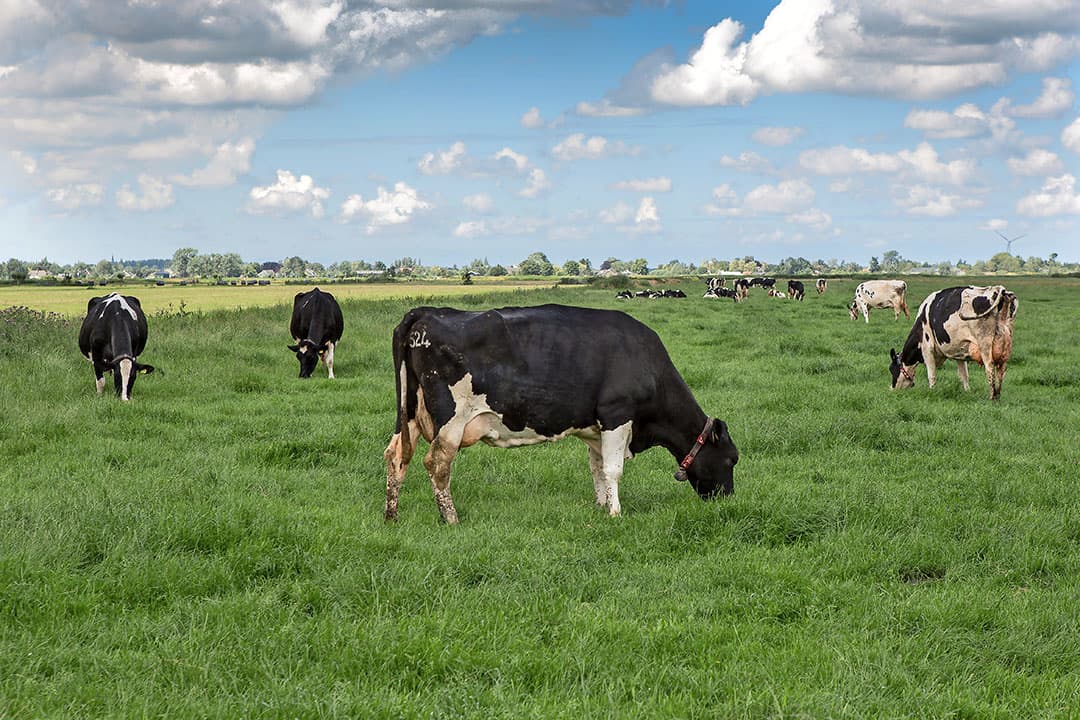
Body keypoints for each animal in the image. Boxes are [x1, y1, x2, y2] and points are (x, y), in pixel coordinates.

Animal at [383, 304, 739, 524]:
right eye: (731, 459)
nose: (728, 500)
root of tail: (426, 312)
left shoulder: (595, 427)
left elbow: (597, 468)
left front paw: (601, 505)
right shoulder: (617, 414)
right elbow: (613, 470)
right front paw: (615, 512)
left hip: (409, 414)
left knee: (396, 456)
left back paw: (392, 516)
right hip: (451, 420)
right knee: (437, 463)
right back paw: (451, 518)